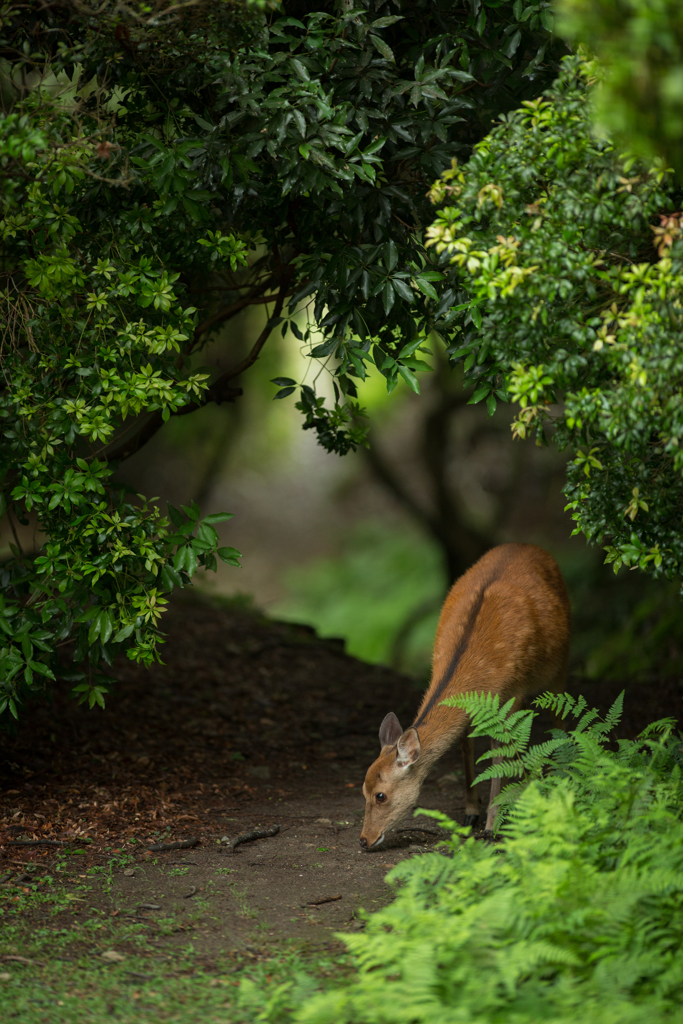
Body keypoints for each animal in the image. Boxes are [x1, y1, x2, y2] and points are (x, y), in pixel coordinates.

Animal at [360, 544, 569, 847]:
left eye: (381, 795)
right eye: (362, 790)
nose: (364, 839)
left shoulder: (512, 695)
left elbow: (499, 754)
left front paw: (493, 825)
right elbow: (466, 743)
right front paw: (471, 812)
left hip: (562, 660)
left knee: (559, 717)